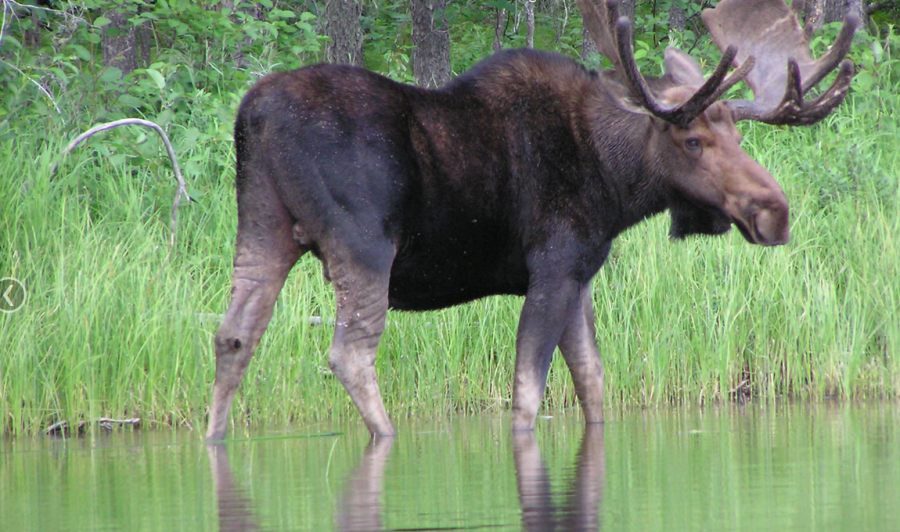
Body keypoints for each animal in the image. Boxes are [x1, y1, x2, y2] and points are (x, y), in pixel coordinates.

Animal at [205, 0, 859, 441]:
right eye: (692, 140)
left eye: (739, 136)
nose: (774, 211)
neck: (615, 181)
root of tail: (252, 112)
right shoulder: (553, 266)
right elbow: (527, 395)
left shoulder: (581, 274)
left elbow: (593, 383)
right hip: (362, 243)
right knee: (350, 352)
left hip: (262, 225)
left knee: (234, 335)